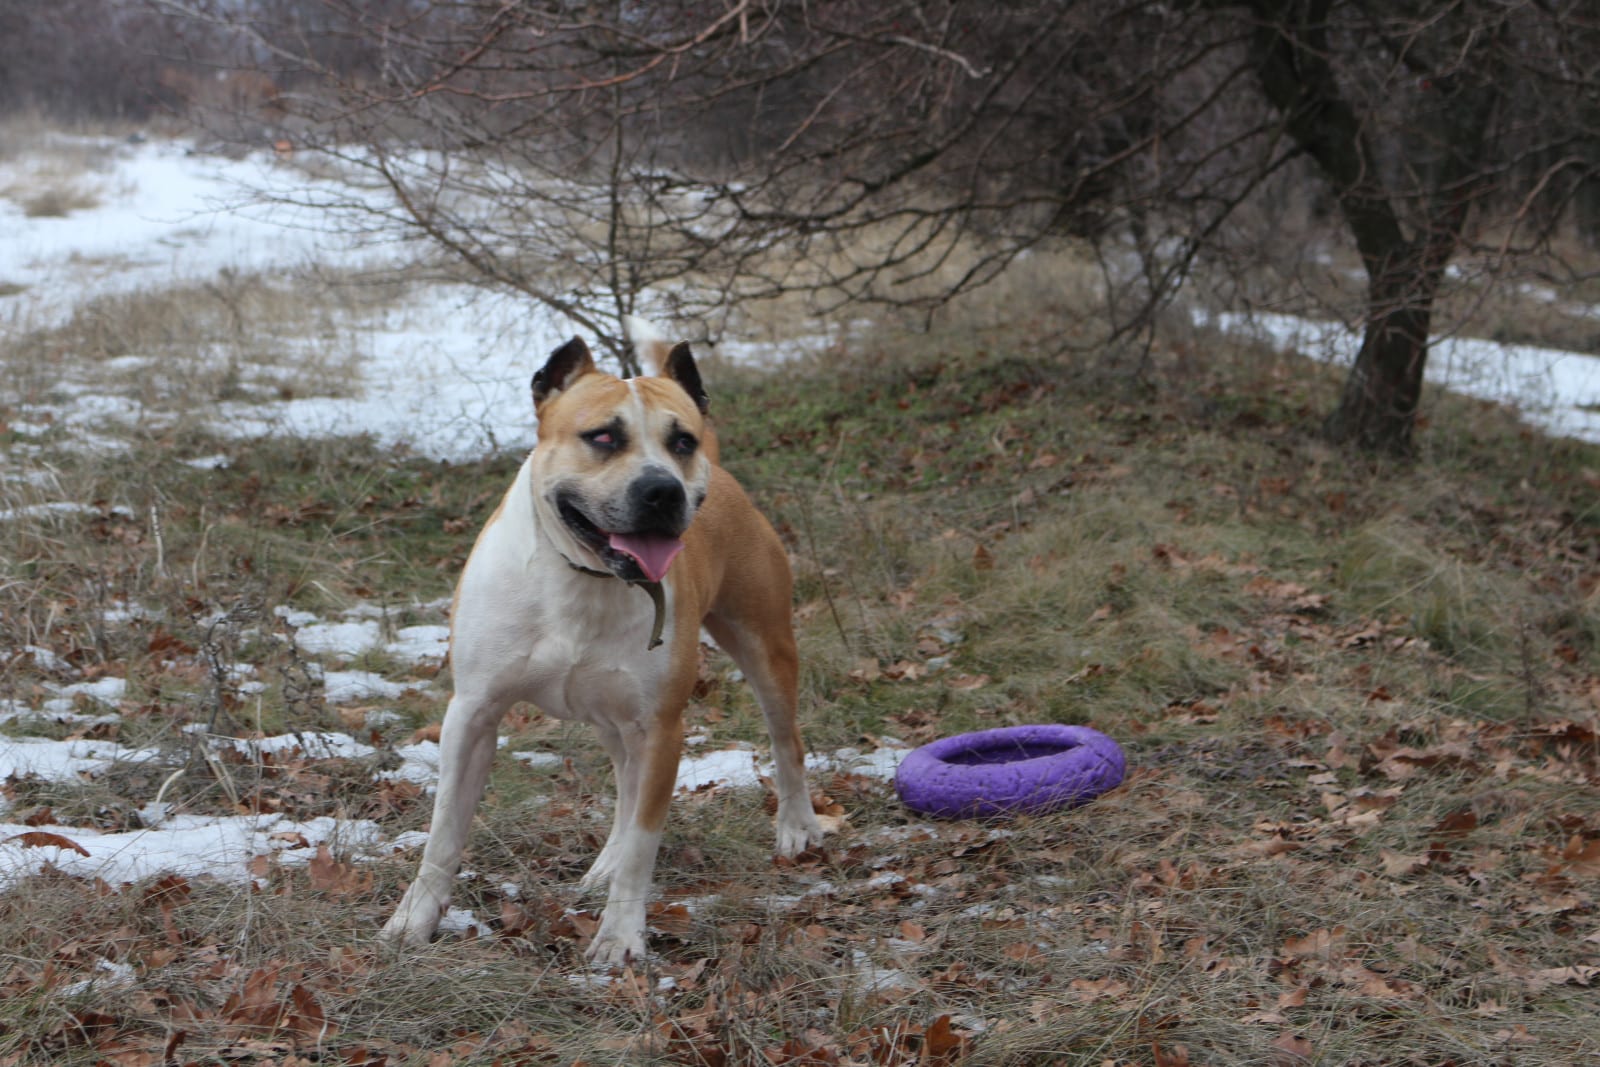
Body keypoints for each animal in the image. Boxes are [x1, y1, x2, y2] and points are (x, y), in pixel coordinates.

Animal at [377, 316, 825, 966]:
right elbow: (443, 832)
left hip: (764, 645)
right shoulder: (472, 714)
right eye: (604, 437)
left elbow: (645, 840)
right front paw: (413, 919)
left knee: (784, 740)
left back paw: (797, 826)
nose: (663, 491)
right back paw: (605, 862)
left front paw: (619, 936)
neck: (583, 577)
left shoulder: (661, 729)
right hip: (610, 715)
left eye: (681, 442)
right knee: (624, 782)